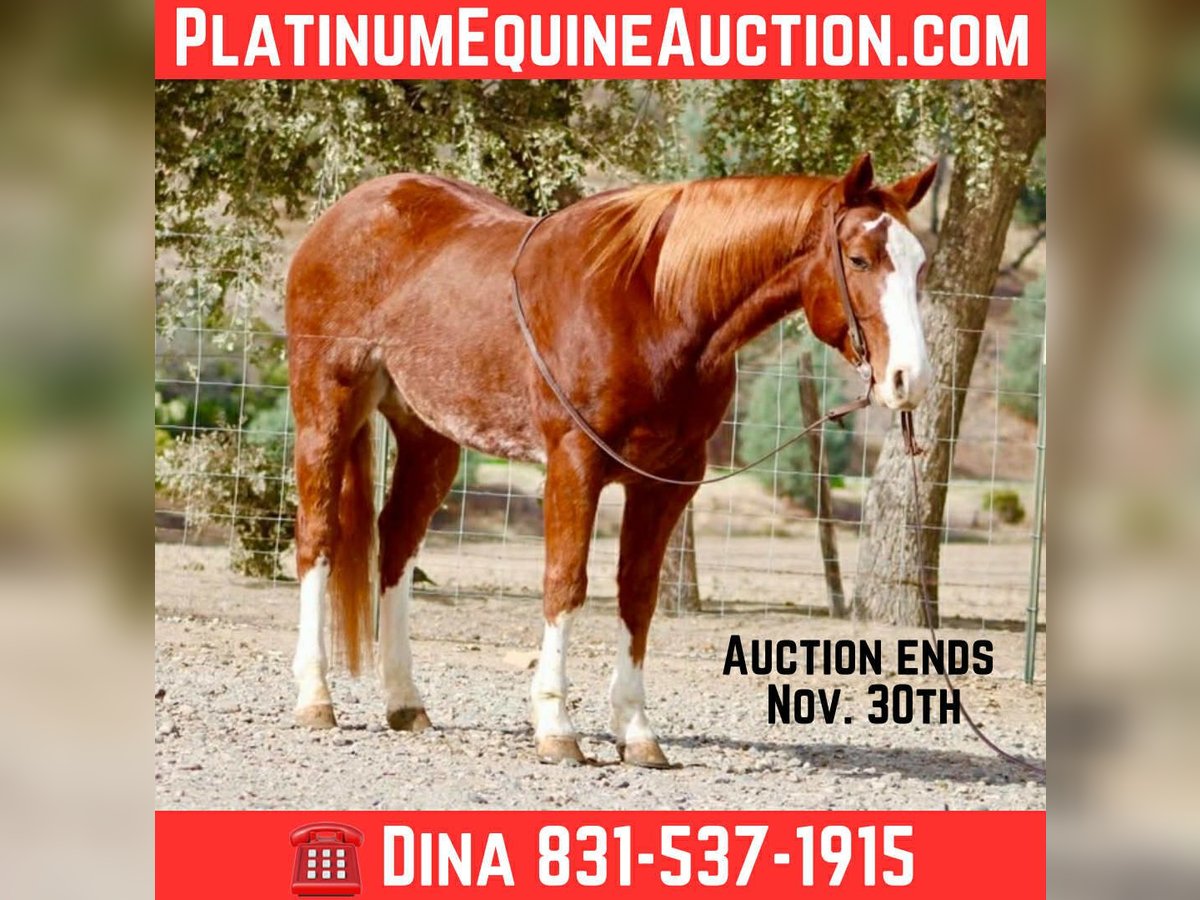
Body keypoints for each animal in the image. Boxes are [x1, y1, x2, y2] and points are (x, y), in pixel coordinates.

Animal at [284, 152, 936, 767]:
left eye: (920, 265)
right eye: (859, 259)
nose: (910, 379)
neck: (655, 306)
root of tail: (344, 215)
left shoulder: (668, 482)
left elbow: (637, 595)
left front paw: (637, 732)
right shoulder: (574, 465)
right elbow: (566, 583)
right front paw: (556, 728)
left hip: (430, 437)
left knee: (396, 541)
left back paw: (404, 702)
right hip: (325, 412)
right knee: (319, 537)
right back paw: (315, 697)